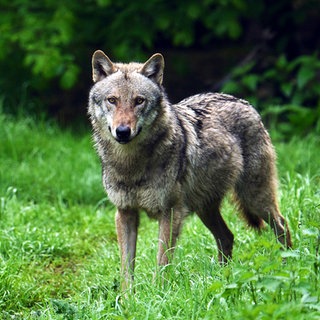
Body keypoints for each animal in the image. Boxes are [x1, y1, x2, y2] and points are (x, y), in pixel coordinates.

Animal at [88, 50, 292, 290]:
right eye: (112, 100)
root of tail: (244, 102)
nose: (122, 131)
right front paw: (128, 297)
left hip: (254, 199)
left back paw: (287, 267)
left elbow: (162, 261)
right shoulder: (125, 213)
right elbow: (126, 268)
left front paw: (159, 293)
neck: (131, 165)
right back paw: (223, 278)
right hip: (206, 208)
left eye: (139, 101)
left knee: (282, 225)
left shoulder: (170, 212)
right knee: (227, 237)